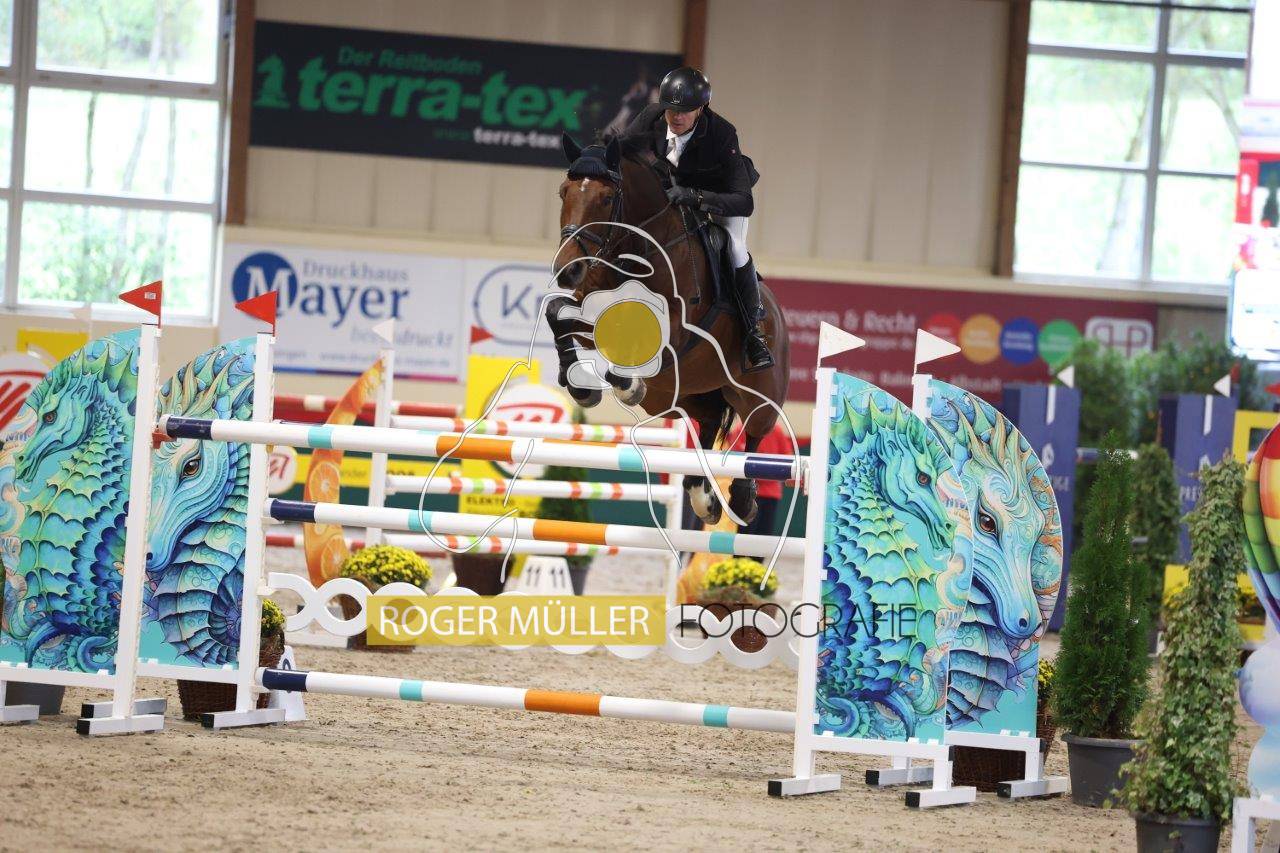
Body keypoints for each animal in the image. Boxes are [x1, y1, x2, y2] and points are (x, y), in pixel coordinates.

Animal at [545, 134, 791, 527]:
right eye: (563, 192)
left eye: (606, 198)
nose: (568, 269)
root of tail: (778, 317)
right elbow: (558, 313)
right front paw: (580, 386)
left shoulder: (674, 328)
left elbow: (633, 348)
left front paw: (625, 385)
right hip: (683, 395)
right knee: (708, 421)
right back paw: (703, 496)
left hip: (758, 389)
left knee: (755, 430)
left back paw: (741, 500)